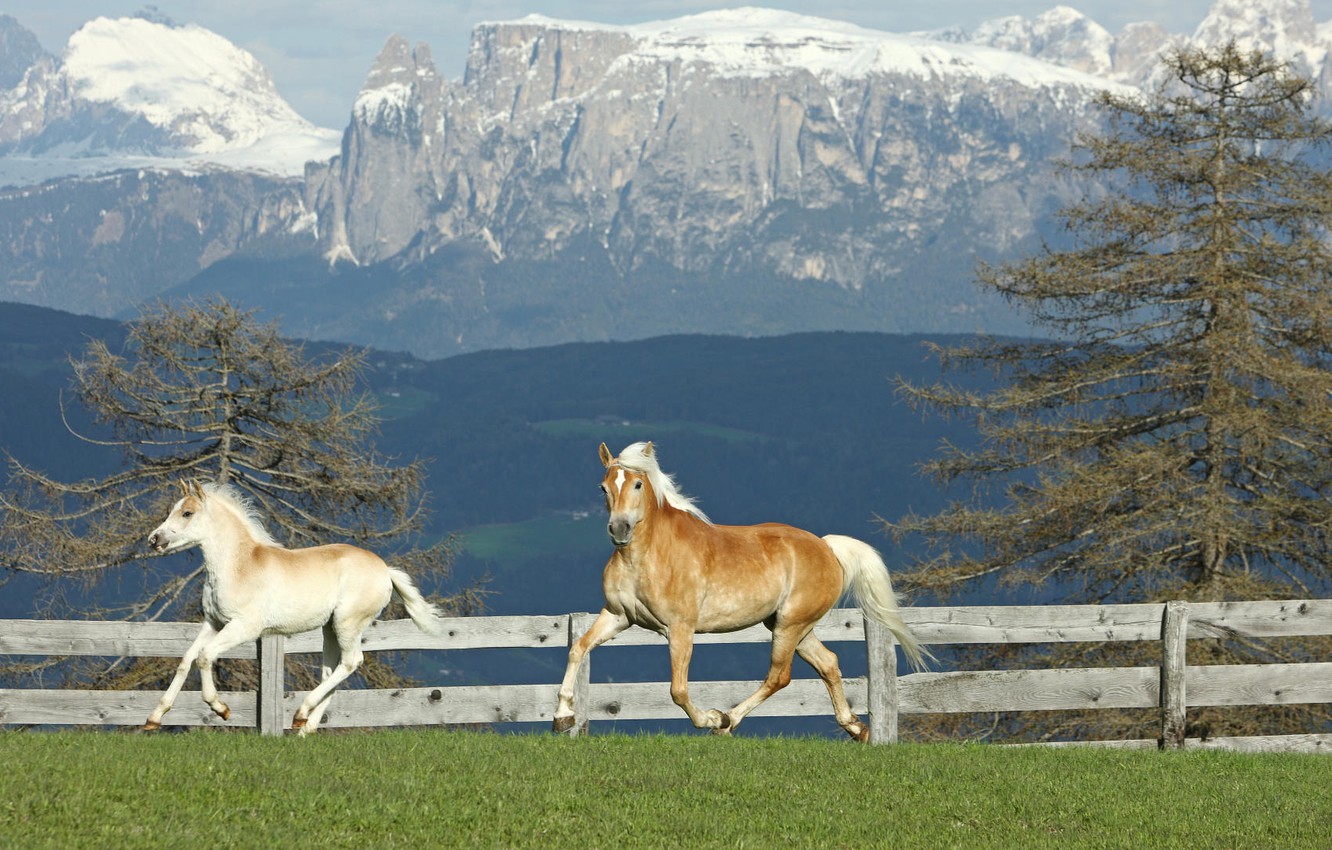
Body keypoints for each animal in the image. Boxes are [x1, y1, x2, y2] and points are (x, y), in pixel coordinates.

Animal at [144, 479, 442, 735]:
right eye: (172, 510)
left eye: (187, 513)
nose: (154, 540)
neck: (239, 566)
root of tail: (385, 570)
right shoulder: (214, 623)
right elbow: (186, 660)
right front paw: (153, 719)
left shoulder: (245, 627)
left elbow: (205, 656)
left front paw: (221, 709)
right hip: (329, 628)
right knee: (332, 670)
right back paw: (304, 728)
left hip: (347, 623)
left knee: (351, 662)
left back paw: (301, 713)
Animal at [553, 441, 930, 742]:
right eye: (603, 487)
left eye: (637, 483)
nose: (620, 529)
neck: (647, 556)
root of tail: (826, 547)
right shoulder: (617, 616)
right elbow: (578, 649)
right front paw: (562, 718)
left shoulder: (680, 629)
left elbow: (678, 690)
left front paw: (709, 718)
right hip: (791, 626)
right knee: (828, 664)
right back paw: (856, 728)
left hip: (790, 625)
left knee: (779, 676)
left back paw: (727, 721)